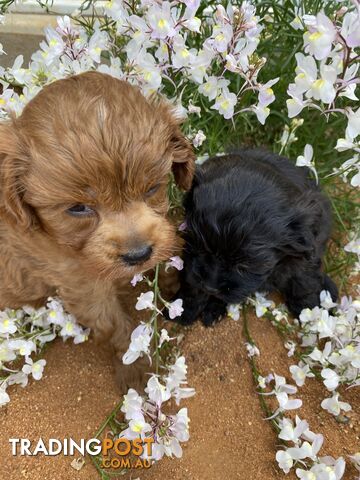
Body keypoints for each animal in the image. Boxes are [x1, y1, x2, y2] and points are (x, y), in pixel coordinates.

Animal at [0, 70, 194, 386]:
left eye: (153, 188)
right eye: (78, 208)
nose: (138, 255)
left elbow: (166, 247)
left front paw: (174, 280)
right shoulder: (80, 283)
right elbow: (113, 324)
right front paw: (136, 367)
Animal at [172, 149, 338, 326]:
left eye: (244, 267)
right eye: (200, 248)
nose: (211, 287)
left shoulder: (304, 260)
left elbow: (304, 285)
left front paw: (313, 314)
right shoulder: (191, 256)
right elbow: (192, 283)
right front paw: (184, 308)